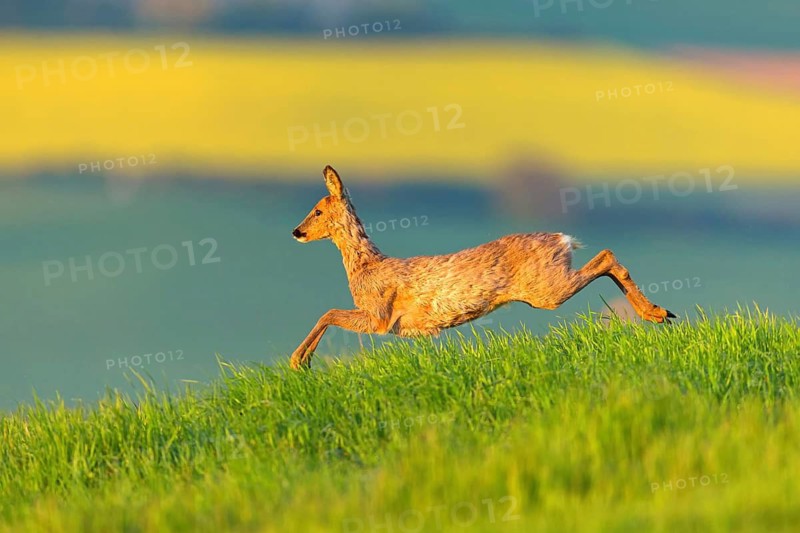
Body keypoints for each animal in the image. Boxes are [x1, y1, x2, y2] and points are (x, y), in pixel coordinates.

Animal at [289, 165, 676, 369]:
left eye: (318, 210)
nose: (297, 231)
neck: (366, 266)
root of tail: (562, 239)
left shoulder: (379, 316)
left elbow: (328, 313)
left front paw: (299, 362)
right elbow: (329, 314)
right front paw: (302, 362)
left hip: (546, 289)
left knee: (606, 256)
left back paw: (658, 313)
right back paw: (659, 313)